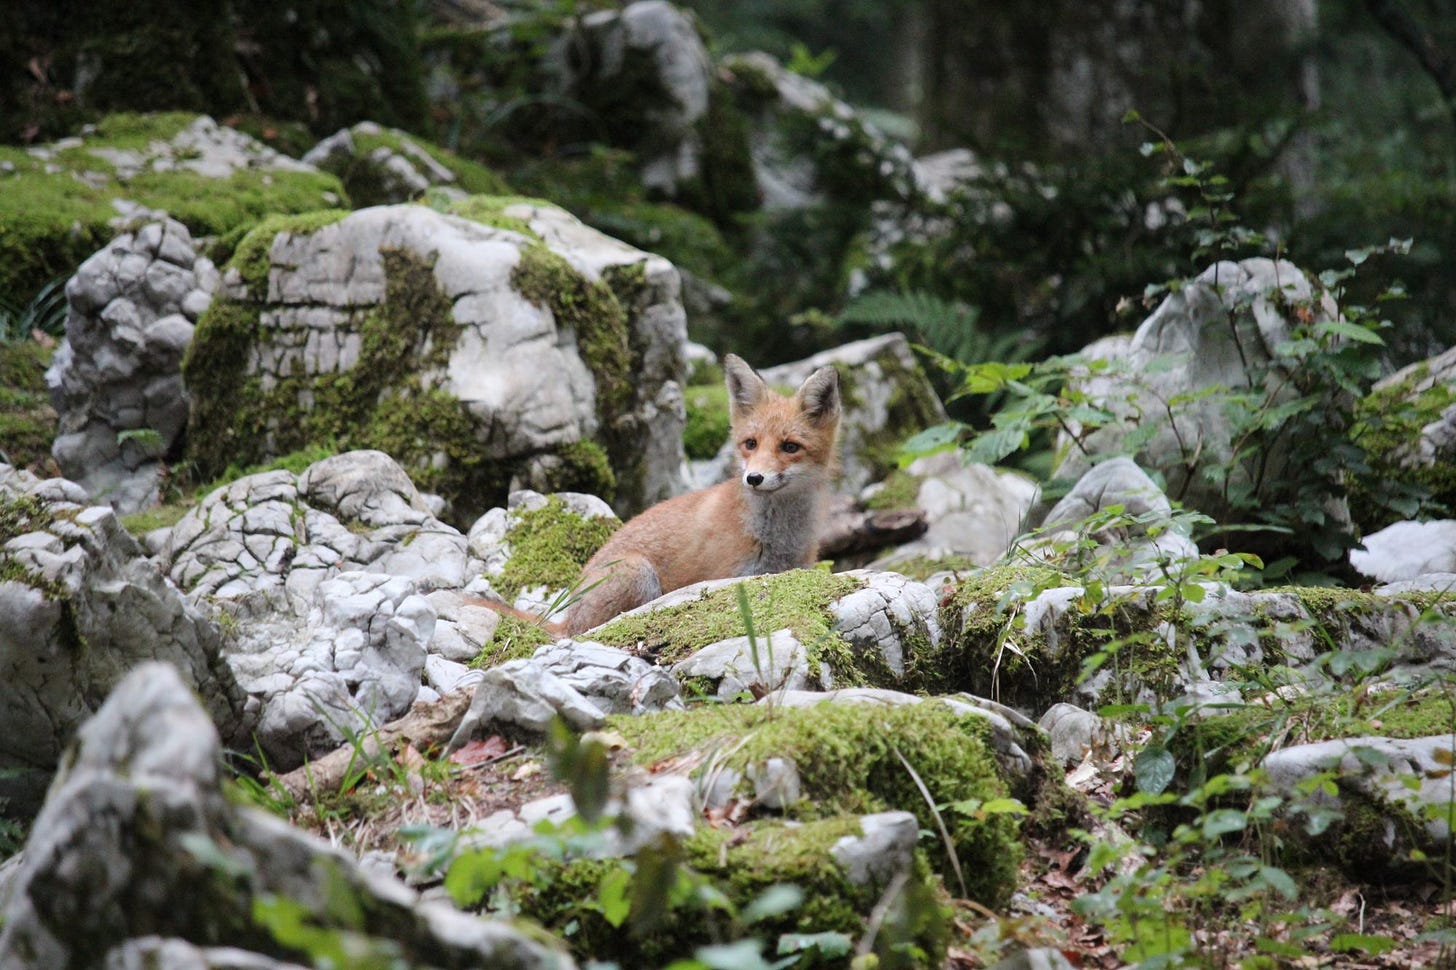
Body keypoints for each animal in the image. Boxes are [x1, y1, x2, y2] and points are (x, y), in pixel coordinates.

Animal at [477, 351, 844, 637]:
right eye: (750, 444)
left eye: (790, 447)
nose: (754, 478)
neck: (776, 536)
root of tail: (565, 617)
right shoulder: (731, 576)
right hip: (637, 573)